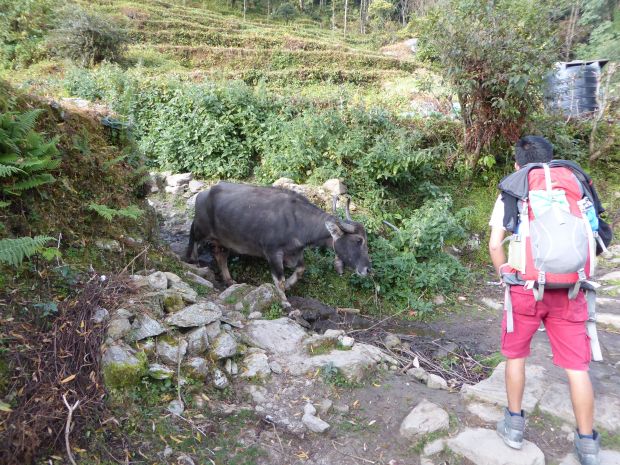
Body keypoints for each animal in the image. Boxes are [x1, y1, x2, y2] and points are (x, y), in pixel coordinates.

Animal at [184, 181, 368, 308]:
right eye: (358, 240)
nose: (367, 269)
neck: (296, 221)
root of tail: (203, 194)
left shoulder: (295, 253)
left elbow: (301, 270)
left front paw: (288, 286)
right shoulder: (272, 253)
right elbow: (278, 279)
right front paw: (285, 301)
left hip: (224, 240)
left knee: (220, 255)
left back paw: (229, 281)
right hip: (200, 229)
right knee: (193, 239)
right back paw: (193, 263)